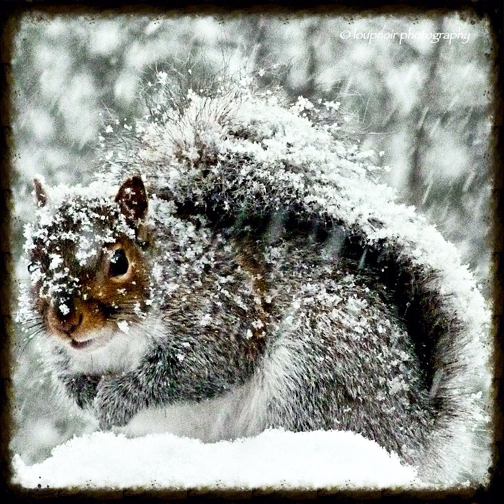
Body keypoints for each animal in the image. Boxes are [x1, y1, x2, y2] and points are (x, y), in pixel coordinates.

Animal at [18, 72, 488, 484]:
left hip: (316, 364)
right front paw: (85, 393)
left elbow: (191, 371)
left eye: (118, 262)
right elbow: (70, 374)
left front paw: (116, 398)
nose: (65, 319)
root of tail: (415, 431)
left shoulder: (227, 313)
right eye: (32, 262)